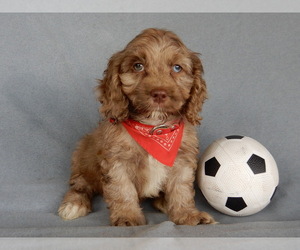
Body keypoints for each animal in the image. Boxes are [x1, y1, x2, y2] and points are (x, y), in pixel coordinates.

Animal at [57, 28, 214, 226]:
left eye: (177, 68)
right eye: (138, 66)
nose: (159, 93)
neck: (154, 128)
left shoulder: (182, 160)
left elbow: (181, 189)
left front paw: (187, 215)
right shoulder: (116, 161)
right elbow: (122, 189)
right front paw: (127, 216)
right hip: (83, 158)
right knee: (80, 184)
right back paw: (74, 204)